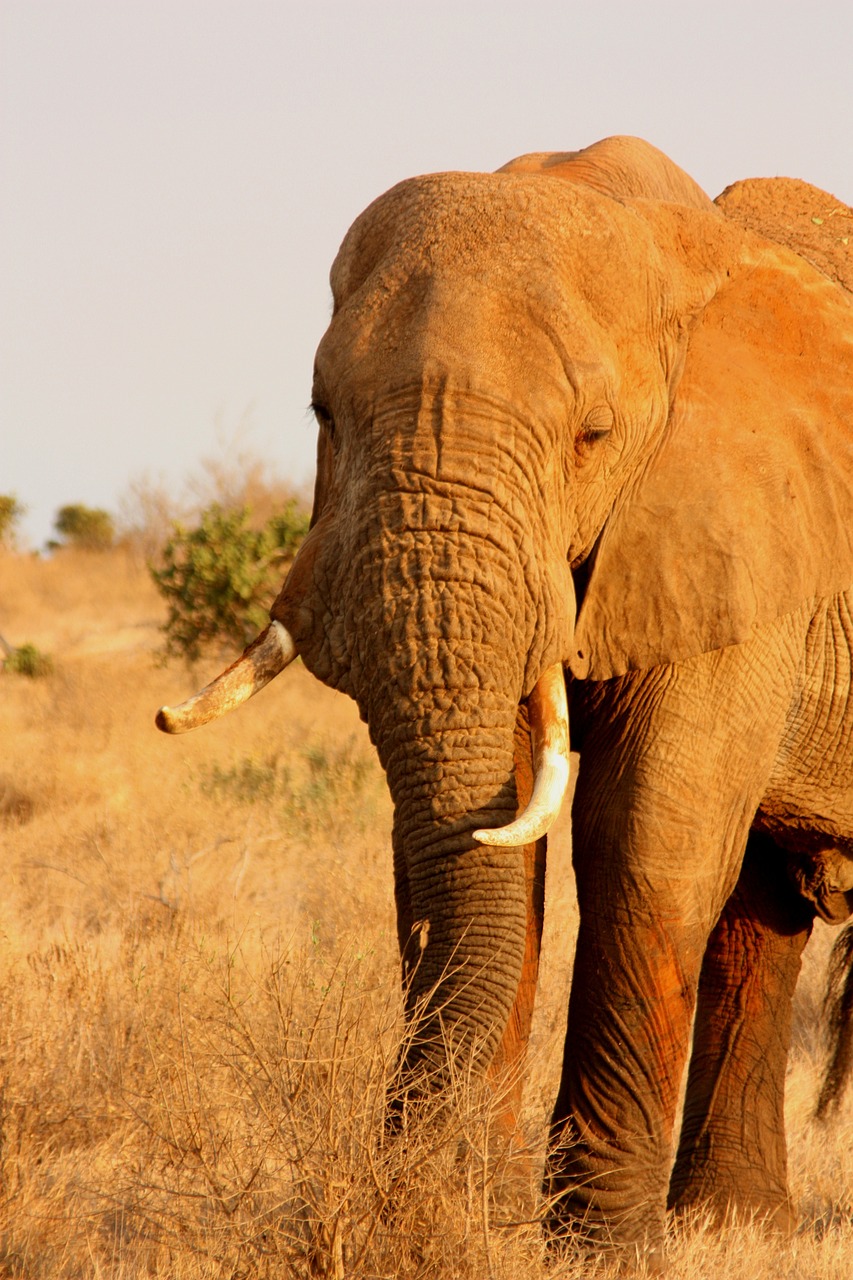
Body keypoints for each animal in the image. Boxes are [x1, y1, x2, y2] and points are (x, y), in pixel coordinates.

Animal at [157, 135, 850, 1254]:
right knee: (761, 909)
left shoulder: (735, 526)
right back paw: (735, 1228)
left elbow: (644, 844)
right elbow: (484, 846)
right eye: (321, 414)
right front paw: (470, 1206)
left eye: (592, 435)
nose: (412, 1187)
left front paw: (601, 1246)